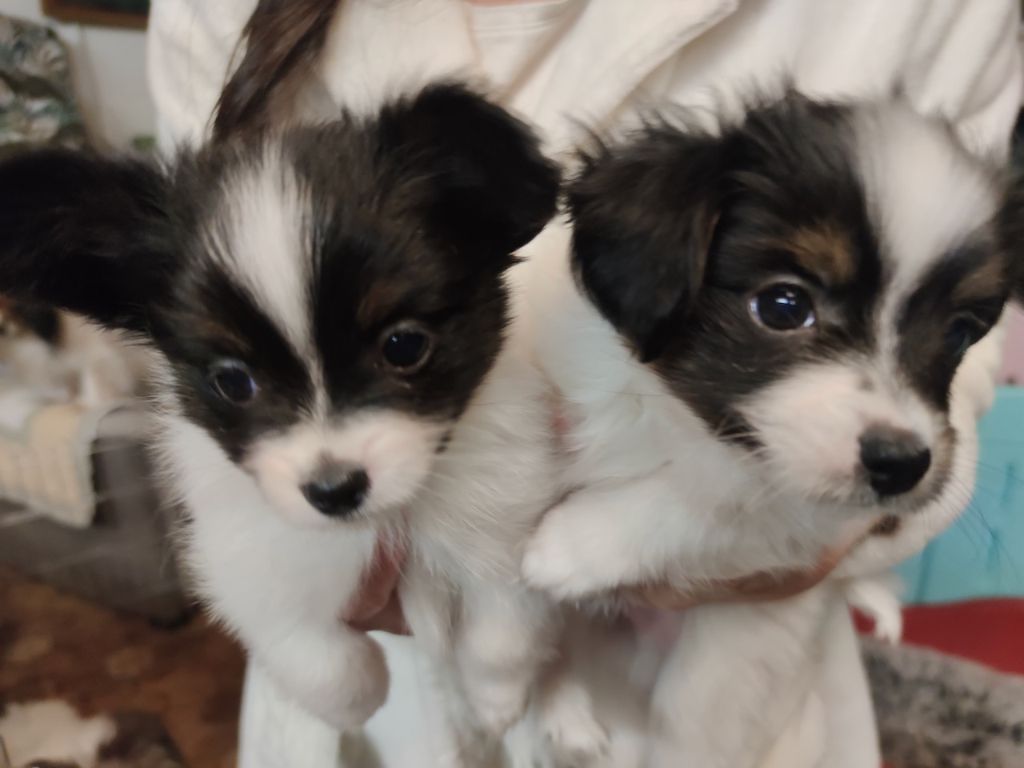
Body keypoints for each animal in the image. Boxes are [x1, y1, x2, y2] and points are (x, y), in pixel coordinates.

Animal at [0, 83, 565, 753]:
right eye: (232, 380)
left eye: (404, 345)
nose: (335, 490)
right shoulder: (243, 552)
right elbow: (316, 653)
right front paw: (353, 706)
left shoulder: (509, 509)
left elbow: (502, 628)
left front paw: (496, 703)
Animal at [524, 91, 1019, 768]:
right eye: (783, 306)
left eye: (960, 333)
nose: (901, 465)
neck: (681, 421)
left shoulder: (792, 537)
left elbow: (718, 509)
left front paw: (573, 546)